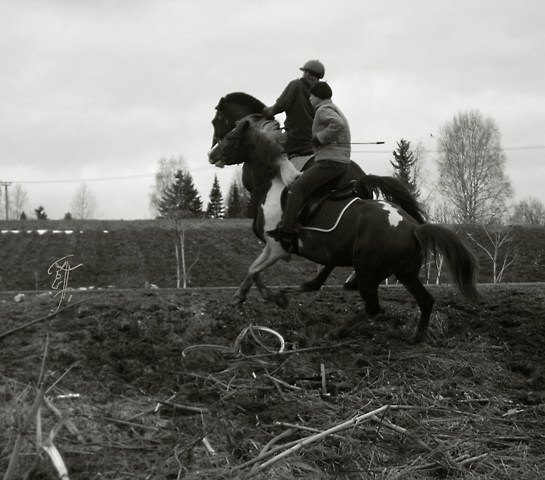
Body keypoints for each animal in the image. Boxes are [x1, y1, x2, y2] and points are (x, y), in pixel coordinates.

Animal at [209, 120, 480, 344]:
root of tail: (415, 228)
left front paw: (275, 298)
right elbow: (251, 270)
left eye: (231, 136)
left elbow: (255, 271)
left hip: (370, 273)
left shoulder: (277, 247)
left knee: (373, 308)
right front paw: (239, 296)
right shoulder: (269, 247)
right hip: (406, 273)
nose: (211, 154)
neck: (274, 185)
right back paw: (416, 337)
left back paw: (337, 331)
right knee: (426, 301)